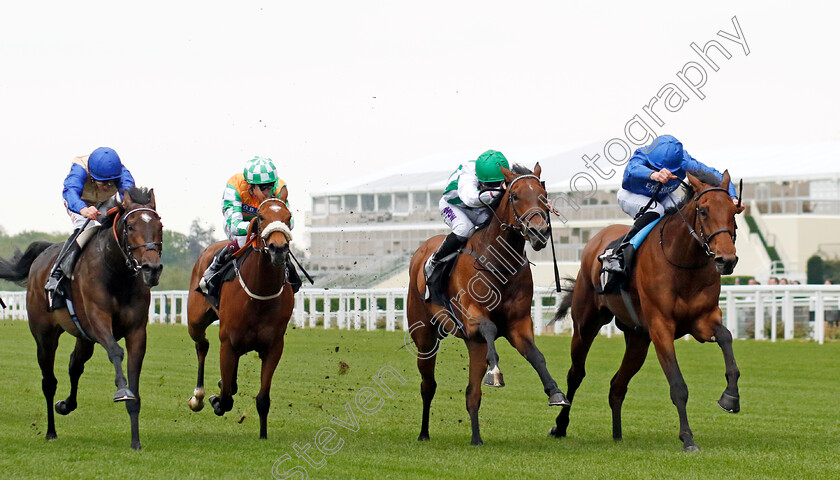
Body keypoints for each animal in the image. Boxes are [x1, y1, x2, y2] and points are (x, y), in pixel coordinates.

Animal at [0, 188, 164, 450]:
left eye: (159, 225)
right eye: (130, 226)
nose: (152, 269)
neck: (117, 273)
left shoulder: (137, 331)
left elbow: (134, 380)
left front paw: (135, 441)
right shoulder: (98, 320)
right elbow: (116, 352)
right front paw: (122, 390)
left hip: (84, 337)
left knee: (75, 365)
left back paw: (65, 405)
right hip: (45, 337)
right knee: (49, 382)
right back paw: (50, 431)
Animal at [187, 191, 296, 438]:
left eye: (288, 217)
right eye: (262, 217)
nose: (278, 248)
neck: (259, 294)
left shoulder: (274, 346)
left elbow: (263, 399)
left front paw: (263, 436)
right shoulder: (228, 343)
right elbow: (226, 399)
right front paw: (215, 400)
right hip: (195, 321)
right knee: (202, 345)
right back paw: (198, 396)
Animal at [406, 165, 568, 446]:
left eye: (544, 194)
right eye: (514, 195)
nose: (539, 231)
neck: (499, 262)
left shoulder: (518, 324)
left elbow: (536, 356)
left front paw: (555, 392)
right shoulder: (473, 319)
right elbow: (490, 330)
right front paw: (495, 372)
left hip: (472, 345)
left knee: (472, 393)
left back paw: (476, 438)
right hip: (425, 338)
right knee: (428, 385)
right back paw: (424, 433)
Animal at [552, 171, 740, 452]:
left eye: (734, 211)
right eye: (704, 211)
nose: (726, 260)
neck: (683, 262)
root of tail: (596, 240)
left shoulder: (703, 320)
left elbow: (727, 338)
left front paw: (730, 397)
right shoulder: (661, 326)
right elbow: (678, 385)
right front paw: (687, 438)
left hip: (638, 340)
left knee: (617, 385)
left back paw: (617, 434)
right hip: (586, 325)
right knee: (576, 374)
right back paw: (560, 426)